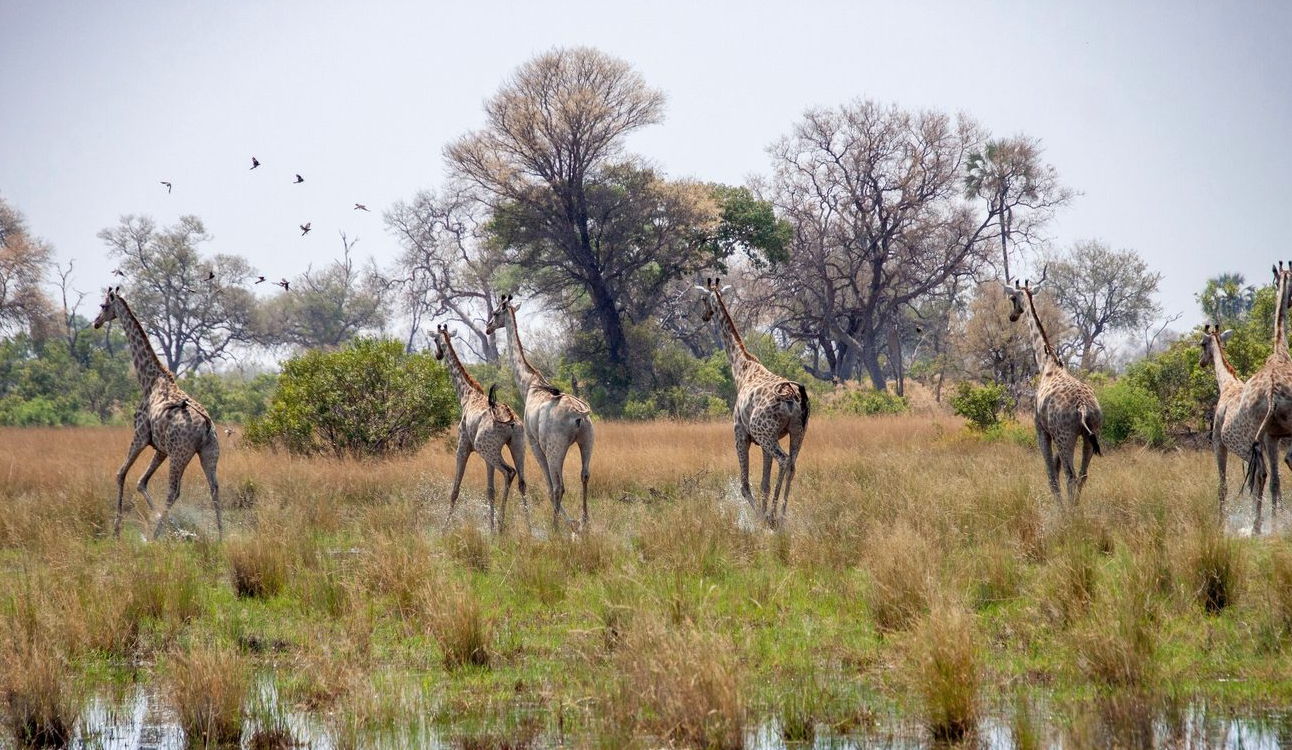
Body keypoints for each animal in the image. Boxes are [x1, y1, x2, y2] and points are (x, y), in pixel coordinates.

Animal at [92, 287, 222, 540]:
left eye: (103, 306)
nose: (95, 322)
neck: (149, 380)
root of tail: (206, 426)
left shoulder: (141, 435)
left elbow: (121, 474)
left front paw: (117, 529)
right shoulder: (160, 448)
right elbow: (141, 482)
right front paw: (175, 528)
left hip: (180, 454)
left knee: (174, 491)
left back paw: (154, 536)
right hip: (208, 453)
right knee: (214, 488)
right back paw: (221, 535)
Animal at [433, 325, 529, 533]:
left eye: (435, 340)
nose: (437, 355)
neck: (466, 394)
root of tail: (511, 421)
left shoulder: (463, 446)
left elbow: (455, 490)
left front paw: (444, 529)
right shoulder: (485, 457)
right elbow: (490, 490)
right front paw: (490, 529)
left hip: (487, 448)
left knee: (509, 472)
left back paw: (502, 525)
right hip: (517, 445)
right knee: (522, 481)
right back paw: (530, 525)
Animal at [484, 295, 593, 531]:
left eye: (496, 313)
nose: (488, 328)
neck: (529, 385)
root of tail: (578, 415)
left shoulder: (534, 444)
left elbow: (549, 487)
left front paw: (566, 524)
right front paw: (574, 523)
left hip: (555, 448)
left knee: (558, 486)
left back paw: (556, 527)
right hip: (587, 440)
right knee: (584, 475)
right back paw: (585, 522)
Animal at [694, 278, 809, 527]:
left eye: (702, 299)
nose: (704, 316)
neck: (741, 368)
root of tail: (792, 399)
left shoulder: (741, 433)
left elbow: (745, 485)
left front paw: (761, 518)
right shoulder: (763, 441)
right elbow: (764, 483)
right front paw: (765, 515)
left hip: (765, 433)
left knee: (784, 460)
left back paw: (774, 517)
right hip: (797, 432)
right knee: (792, 465)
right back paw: (782, 515)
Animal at [1000, 273, 1102, 505]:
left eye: (1012, 298)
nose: (1012, 316)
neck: (1047, 362)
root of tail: (1083, 408)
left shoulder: (1041, 429)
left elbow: (1050, 474)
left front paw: (1058, 507)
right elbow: (1055, 469)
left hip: (1065, 435)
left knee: (1070, 476)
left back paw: (1070, 511)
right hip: (1090, 433)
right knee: (1082, 474)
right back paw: (1076, 507)